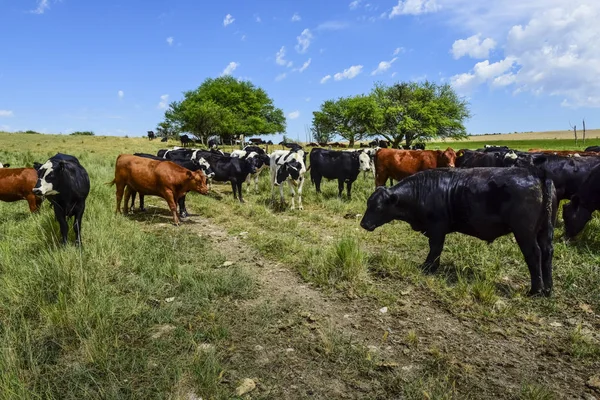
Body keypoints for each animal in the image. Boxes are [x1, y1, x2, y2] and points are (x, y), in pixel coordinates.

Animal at [358, 167, 556, 296]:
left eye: (378, 207)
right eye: (368, 203)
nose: (363, 224)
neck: (423, 190)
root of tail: (537, 174)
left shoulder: (437, 228)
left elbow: (435, 248)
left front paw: (428, 267)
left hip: (524, 233)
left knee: (534, 254)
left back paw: (535, 290)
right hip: (545, 231)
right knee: (547, 253)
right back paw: (547, 289)